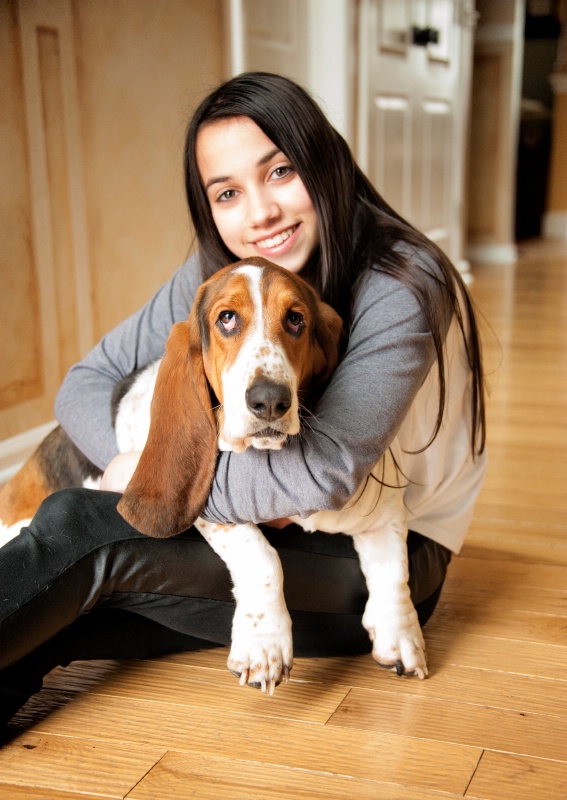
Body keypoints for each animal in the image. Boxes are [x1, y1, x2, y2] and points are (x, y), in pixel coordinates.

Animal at [0, 258, 426, 692]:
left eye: (295, 319)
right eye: (227, 318)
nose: (269, 401)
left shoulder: (385, 516)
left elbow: (395, 573)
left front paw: (399, 636)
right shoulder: (212, 505)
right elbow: (262, 556)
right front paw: (264, 644)